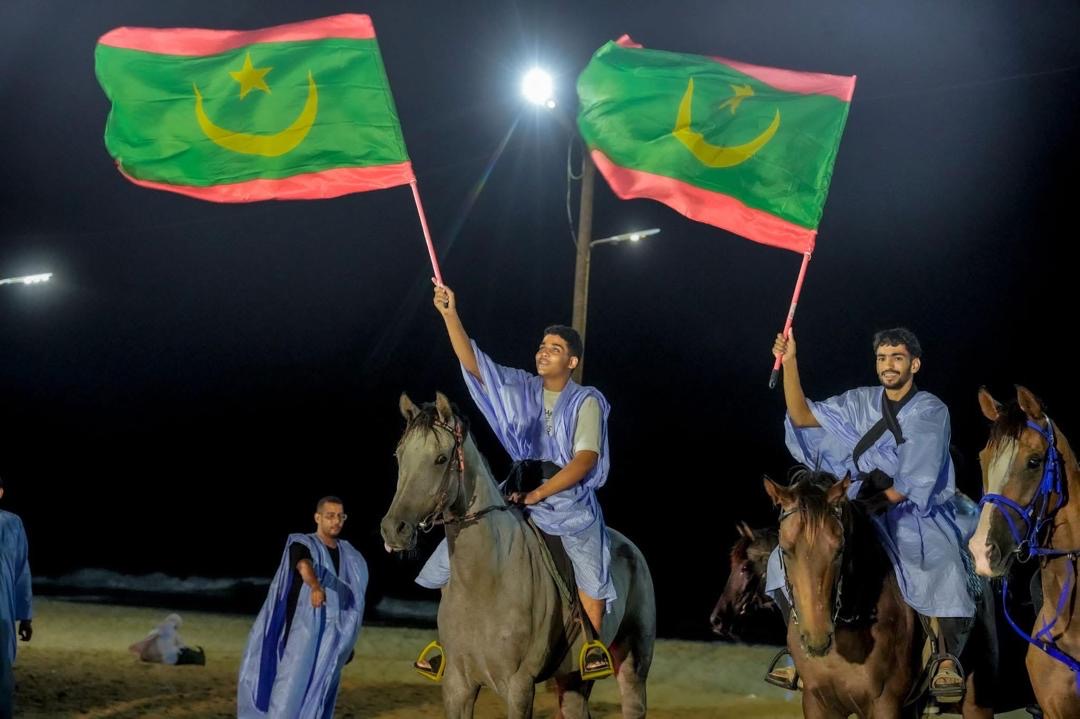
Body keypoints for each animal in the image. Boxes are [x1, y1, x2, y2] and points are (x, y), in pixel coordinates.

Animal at [380, 393, 656, 719]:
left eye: (440, 458)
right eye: (399, 456)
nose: (393, 529)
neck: (485, 580)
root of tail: (630, 547)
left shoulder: (518, 686)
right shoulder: (458, 685)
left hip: (634, 663)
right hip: (573, 679)